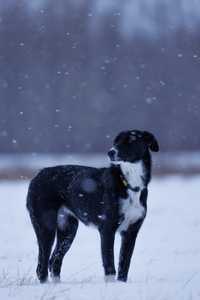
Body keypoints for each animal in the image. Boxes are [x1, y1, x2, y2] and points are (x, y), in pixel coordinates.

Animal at [26, 129, 159, 284]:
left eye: (131, 140)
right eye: (116, 141)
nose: (110, 152)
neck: (130, 183)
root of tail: (37, 175)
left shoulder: (131, 232)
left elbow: (124, 264)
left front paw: (121, 285)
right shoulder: (107, 229)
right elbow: (110, 265)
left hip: (68, 230)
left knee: (54, 261)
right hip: (46, 227)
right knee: (42, 266)